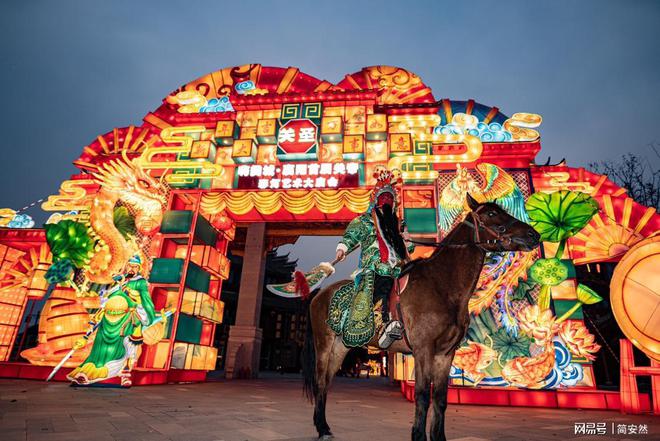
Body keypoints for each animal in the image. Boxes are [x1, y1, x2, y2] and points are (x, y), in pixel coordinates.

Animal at [302, 196, 540, 440]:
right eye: (491, 214)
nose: (533, 235)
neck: (443, 285)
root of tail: (318, 295)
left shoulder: (445, 353)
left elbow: (440, 399)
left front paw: (438, 436)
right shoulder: (423, 348)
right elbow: (423, 395)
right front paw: (418, 435)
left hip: (340, 347)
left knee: (326, 382)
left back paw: (324, 426)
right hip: (324, 344)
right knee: (320, 382)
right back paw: (321, 428)